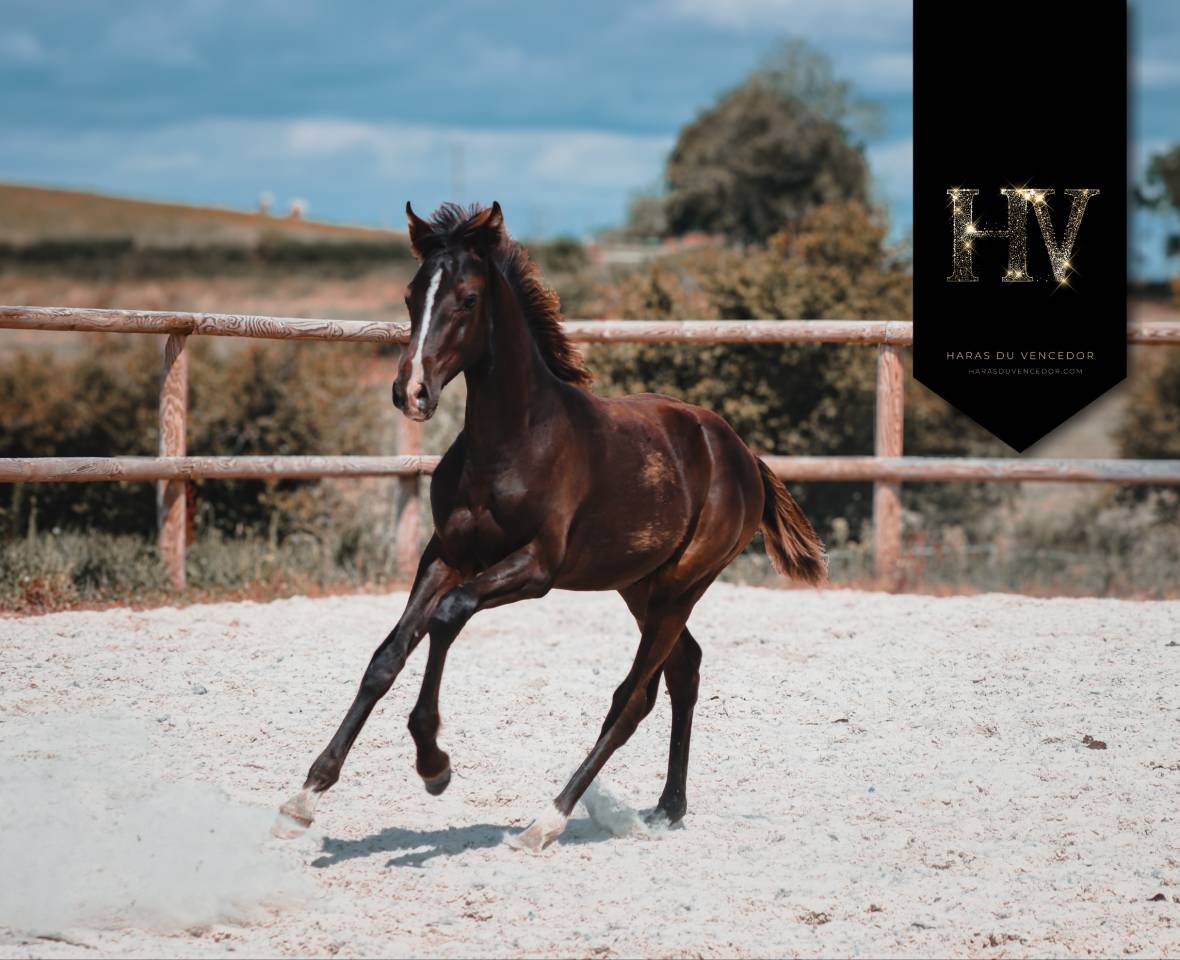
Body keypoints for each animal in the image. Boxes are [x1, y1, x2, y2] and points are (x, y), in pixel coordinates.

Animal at [274, 201, 825, 851]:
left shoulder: (535, 568)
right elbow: (387, 656)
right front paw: (305, 797)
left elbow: (448, 615)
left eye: (467, 299)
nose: (411, 392)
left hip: (680, 587)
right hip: (638, 584)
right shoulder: (445, 554)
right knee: (684, 670)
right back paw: (667, 807)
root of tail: (742, 454)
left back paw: (547, 820)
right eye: (412, 295)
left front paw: (434, 764)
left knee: (634, 696)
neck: (511, 443)